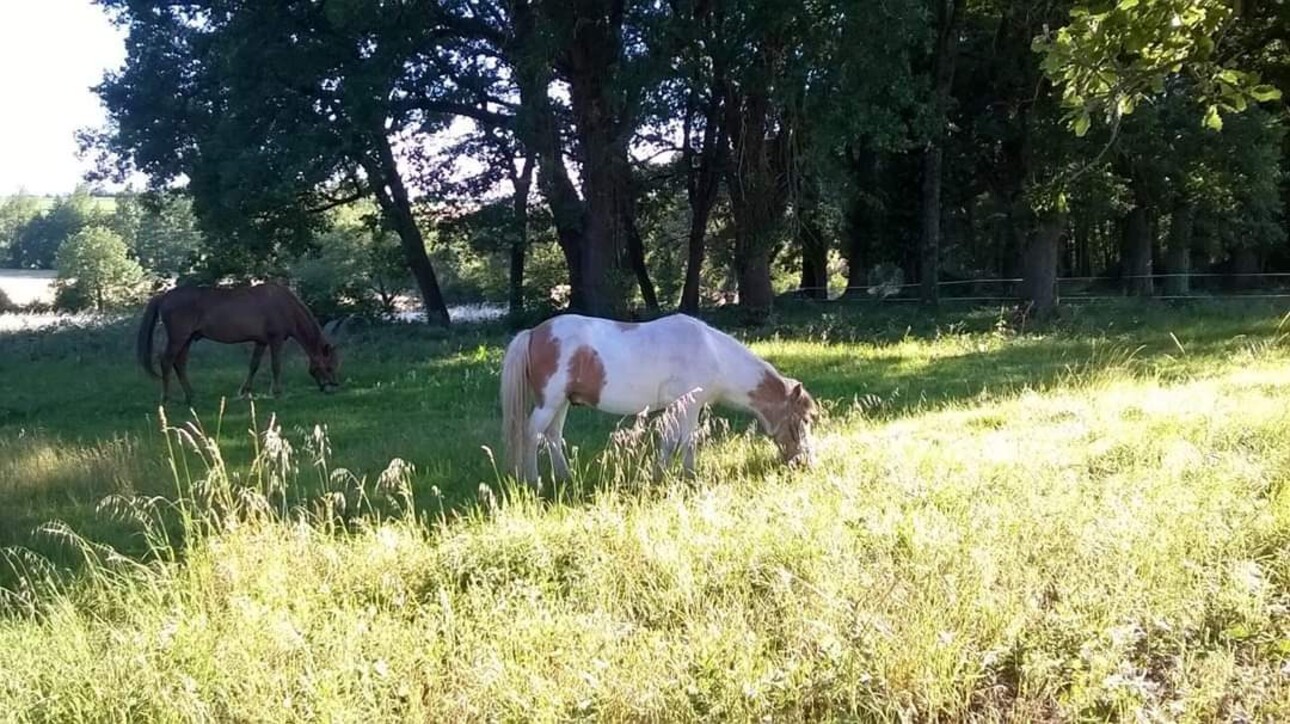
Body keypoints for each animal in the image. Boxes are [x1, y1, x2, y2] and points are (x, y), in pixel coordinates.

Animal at [136, 282, 340, 402]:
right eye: (329, 367)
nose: (332, 387)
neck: (284, 304)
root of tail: (165, 296)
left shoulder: (261, 342)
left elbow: (254, 366)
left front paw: (245, 391)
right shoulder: (275, 340)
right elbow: (276, 366)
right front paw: (276, 392)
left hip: (187, 340)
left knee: (179, 364)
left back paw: (190, 395)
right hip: (178, 338)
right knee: (166, 361)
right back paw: (166, 398)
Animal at [500, 312, 815, 485]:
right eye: (802, 420)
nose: (804, 463)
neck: (712, 353)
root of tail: (533, 333)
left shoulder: (676, 407)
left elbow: (670, 440)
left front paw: (659, 475)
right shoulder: (690, 405)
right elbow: (687, 440)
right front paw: (689, 475)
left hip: (562, 403)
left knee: (553, 436)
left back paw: (565, 477)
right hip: (549, 403)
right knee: (532, 434)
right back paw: (533, 481)